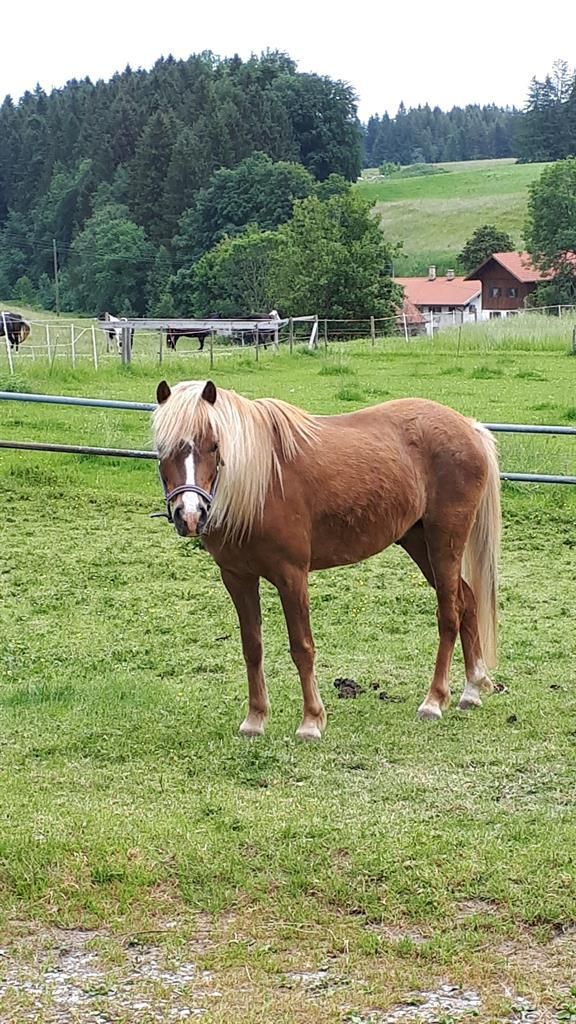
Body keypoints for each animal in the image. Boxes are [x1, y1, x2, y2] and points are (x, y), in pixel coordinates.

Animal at [153, 380, 501, 740]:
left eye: (213, 445)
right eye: (162, 448)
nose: (190, 515)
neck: (261, 483)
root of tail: (469, 428)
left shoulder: (291, 575)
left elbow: (301, 647)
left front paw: (311, 721)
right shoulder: (237, 577)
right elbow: (252, 647)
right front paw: (255, 720)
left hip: (444, 543)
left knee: (449, 613)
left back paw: (433, 701)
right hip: (419, 543)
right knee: (468, 601)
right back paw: (472, 690)